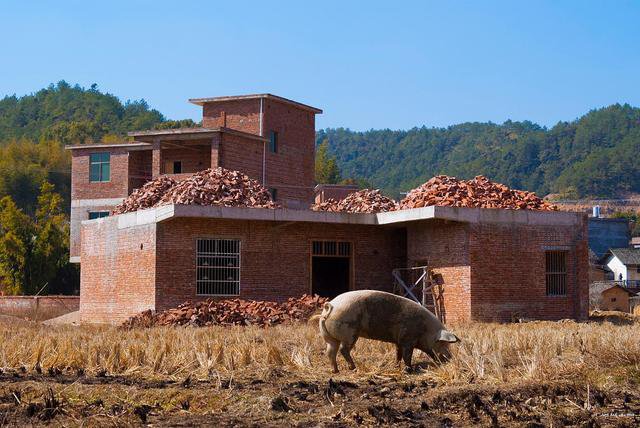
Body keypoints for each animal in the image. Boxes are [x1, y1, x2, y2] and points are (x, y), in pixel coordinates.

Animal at [318, 290, 458, 372]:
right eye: (443, 343)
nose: (450, 358)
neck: (426, 329)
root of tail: (331, 306)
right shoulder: (408, 339)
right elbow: (407, 355)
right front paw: (409, 369)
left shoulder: (399, 341)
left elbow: (398, 354)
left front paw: (396, 367)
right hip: (350, 333)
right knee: (343, 349)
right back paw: (353, 368)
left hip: (329, 337)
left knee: (330, 351)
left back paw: (335, 371)